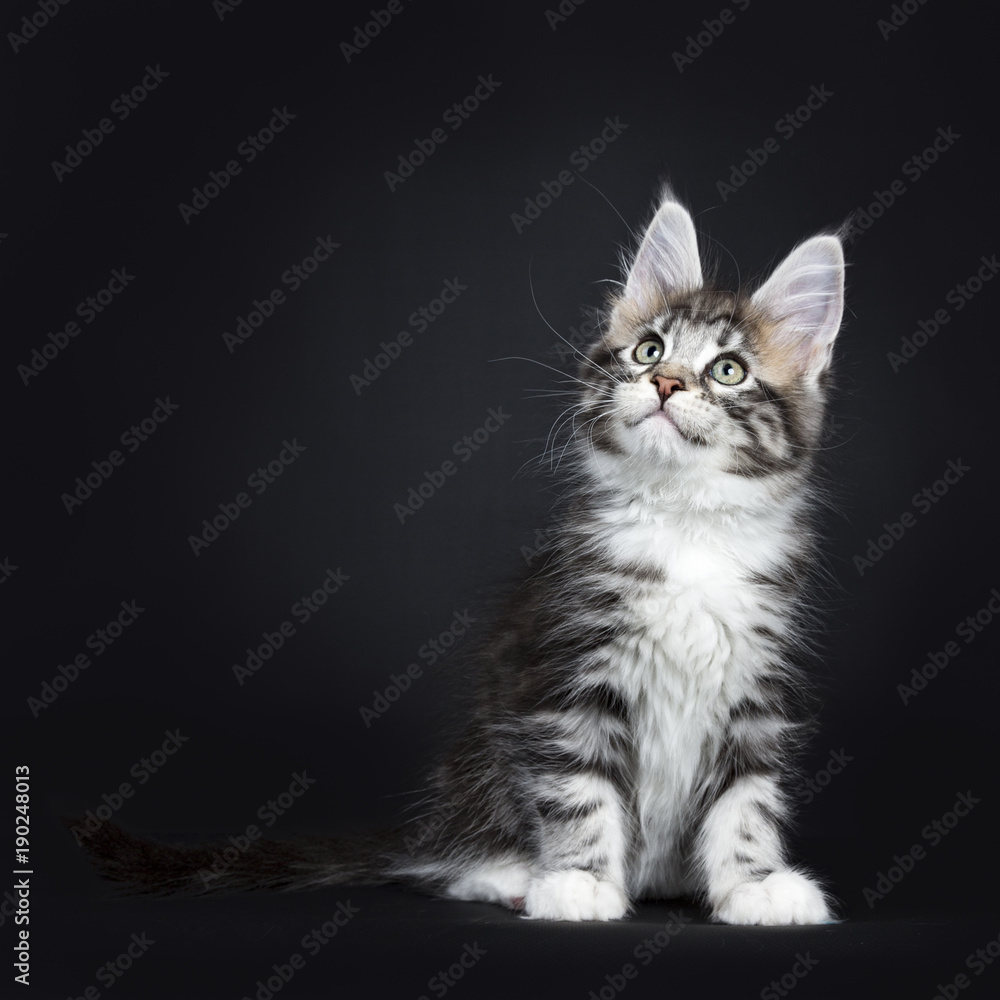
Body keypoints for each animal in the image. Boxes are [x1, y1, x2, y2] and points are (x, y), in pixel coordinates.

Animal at [74, 188, 848, 920]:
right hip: (483, 762)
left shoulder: (758, 691)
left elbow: (746, 803)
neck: (684, 525)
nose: (664, 383)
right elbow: (579, 792)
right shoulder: (566, 679)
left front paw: (755, 886)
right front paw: (578, 883)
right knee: (454, 864)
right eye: (649, 351)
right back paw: (513, 876)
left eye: (727, 371)